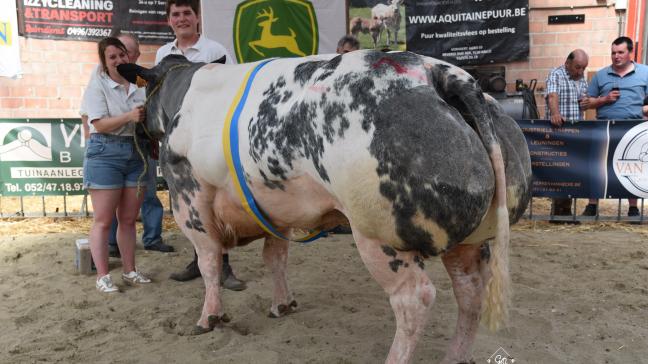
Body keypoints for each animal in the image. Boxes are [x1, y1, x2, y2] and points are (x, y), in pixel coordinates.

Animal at [117, 51, 532, 364]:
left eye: (144, 90)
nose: (137, 125)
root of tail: (438, 72)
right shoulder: (274, 205)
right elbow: (275, 258)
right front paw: (282, 305)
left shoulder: (189, 195)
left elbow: (209, 262)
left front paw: (209, 317)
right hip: (472, 239)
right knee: (470, 290)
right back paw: (455, 357)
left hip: (378, 234)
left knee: (415, 299)